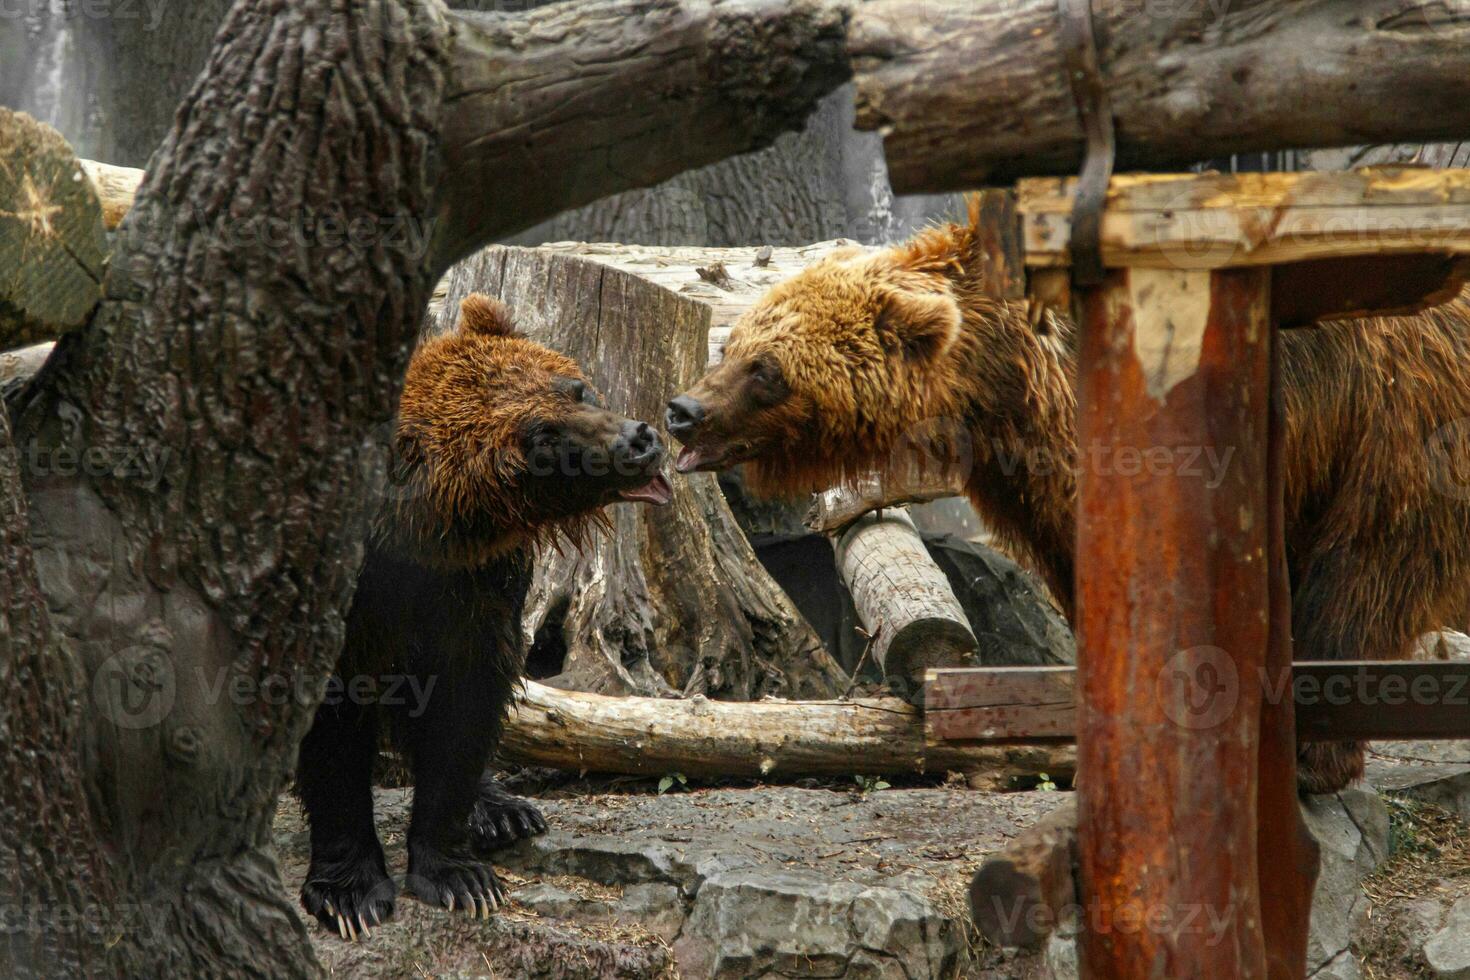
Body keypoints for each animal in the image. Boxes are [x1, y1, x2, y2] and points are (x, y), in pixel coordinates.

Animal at [299, 295, 676, 940]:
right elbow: (334, 724)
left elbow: (465, 705)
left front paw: (461, 876)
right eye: (542, 436)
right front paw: (351, 895)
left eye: (576, 387)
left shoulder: (480, 587)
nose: (639, 438)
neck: (418, 540)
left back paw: (503, 811)